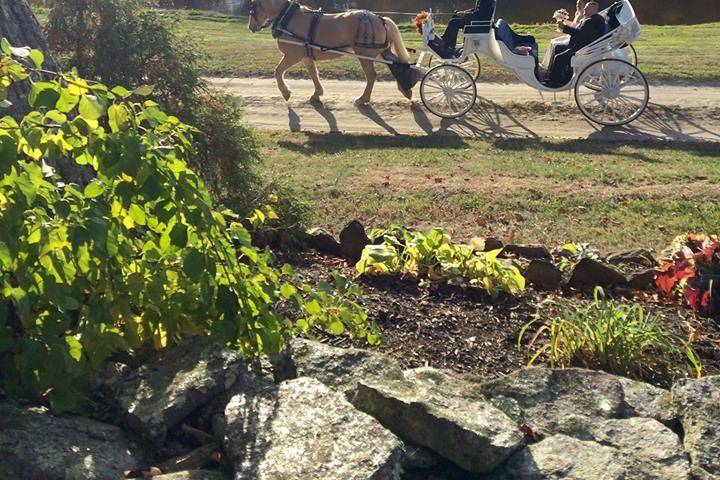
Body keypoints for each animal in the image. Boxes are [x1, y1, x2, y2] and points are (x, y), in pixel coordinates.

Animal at [249, 0, 414, 105]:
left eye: (253, 5)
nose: (250, 27)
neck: (287, 17)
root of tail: (379, 18)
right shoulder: (306, 56)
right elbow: (313, 74)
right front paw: (317, 94)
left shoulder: (293, 55)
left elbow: (278, 71)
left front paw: (286, 92)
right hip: (380, 51)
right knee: (397, 64)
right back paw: (405, 90)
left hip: (366, 54)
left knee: (372, 76)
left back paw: (363, 99)